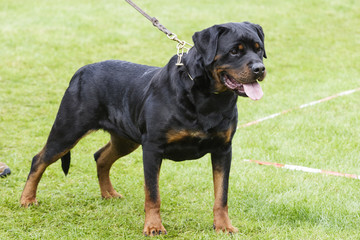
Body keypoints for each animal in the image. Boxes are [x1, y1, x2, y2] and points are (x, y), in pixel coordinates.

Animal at [20, 21, 268, 235]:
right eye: (234, 51)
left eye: (259, 49)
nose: (260, 68)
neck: (207, 97)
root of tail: (80, 72)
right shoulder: (152, 148)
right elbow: (153, 194)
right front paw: (154, 226)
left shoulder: (223, 149)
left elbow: (221, 195)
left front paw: (223, 226)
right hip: (68, 130)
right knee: (39, 159)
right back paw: (27, 199)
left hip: (125, 139)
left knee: (101, 157)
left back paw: (108, 193)